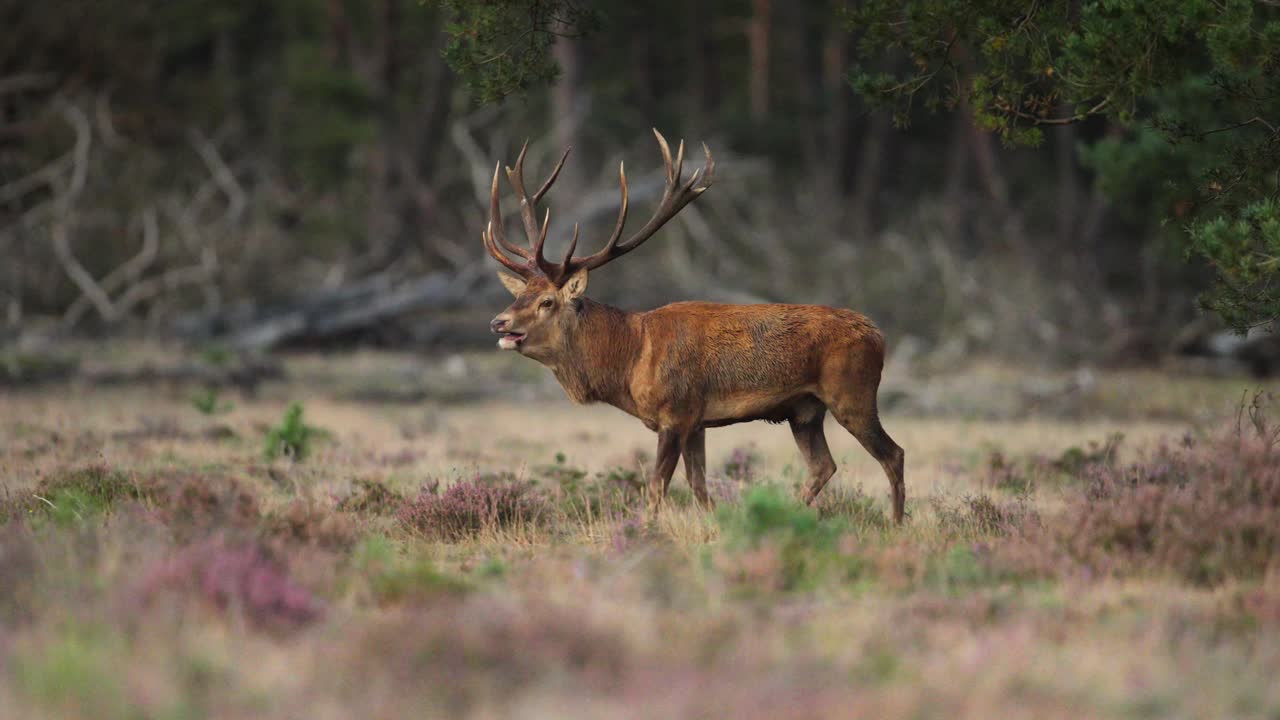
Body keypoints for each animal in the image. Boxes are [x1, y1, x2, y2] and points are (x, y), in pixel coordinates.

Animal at [483, 130, 906, 523]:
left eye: (547, 302)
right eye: (520, 295)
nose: (498, 322)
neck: (629, 361)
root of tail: (878, 334)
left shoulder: (675, 411)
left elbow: (657, 486)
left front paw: (646, 531)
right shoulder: (697, 421)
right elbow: (699, 486)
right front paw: (718, 524)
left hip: (851, 392)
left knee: (893, 454)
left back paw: (896, 523)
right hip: (805, 410)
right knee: (824, 465)